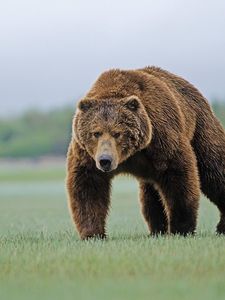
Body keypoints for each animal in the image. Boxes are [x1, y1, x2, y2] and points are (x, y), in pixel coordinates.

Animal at [66, 66, 225, 239]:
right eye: (96, 133)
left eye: (117, 133)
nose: (105, 160)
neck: (130, 156)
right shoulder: (87, 155)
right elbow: (88, 187)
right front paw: (93, 233)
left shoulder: (161, 138)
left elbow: (179, 178)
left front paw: (181, 228)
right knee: (151, 195)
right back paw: (157, 230)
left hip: (200, 129)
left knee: (213, 169)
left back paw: (221, 226)